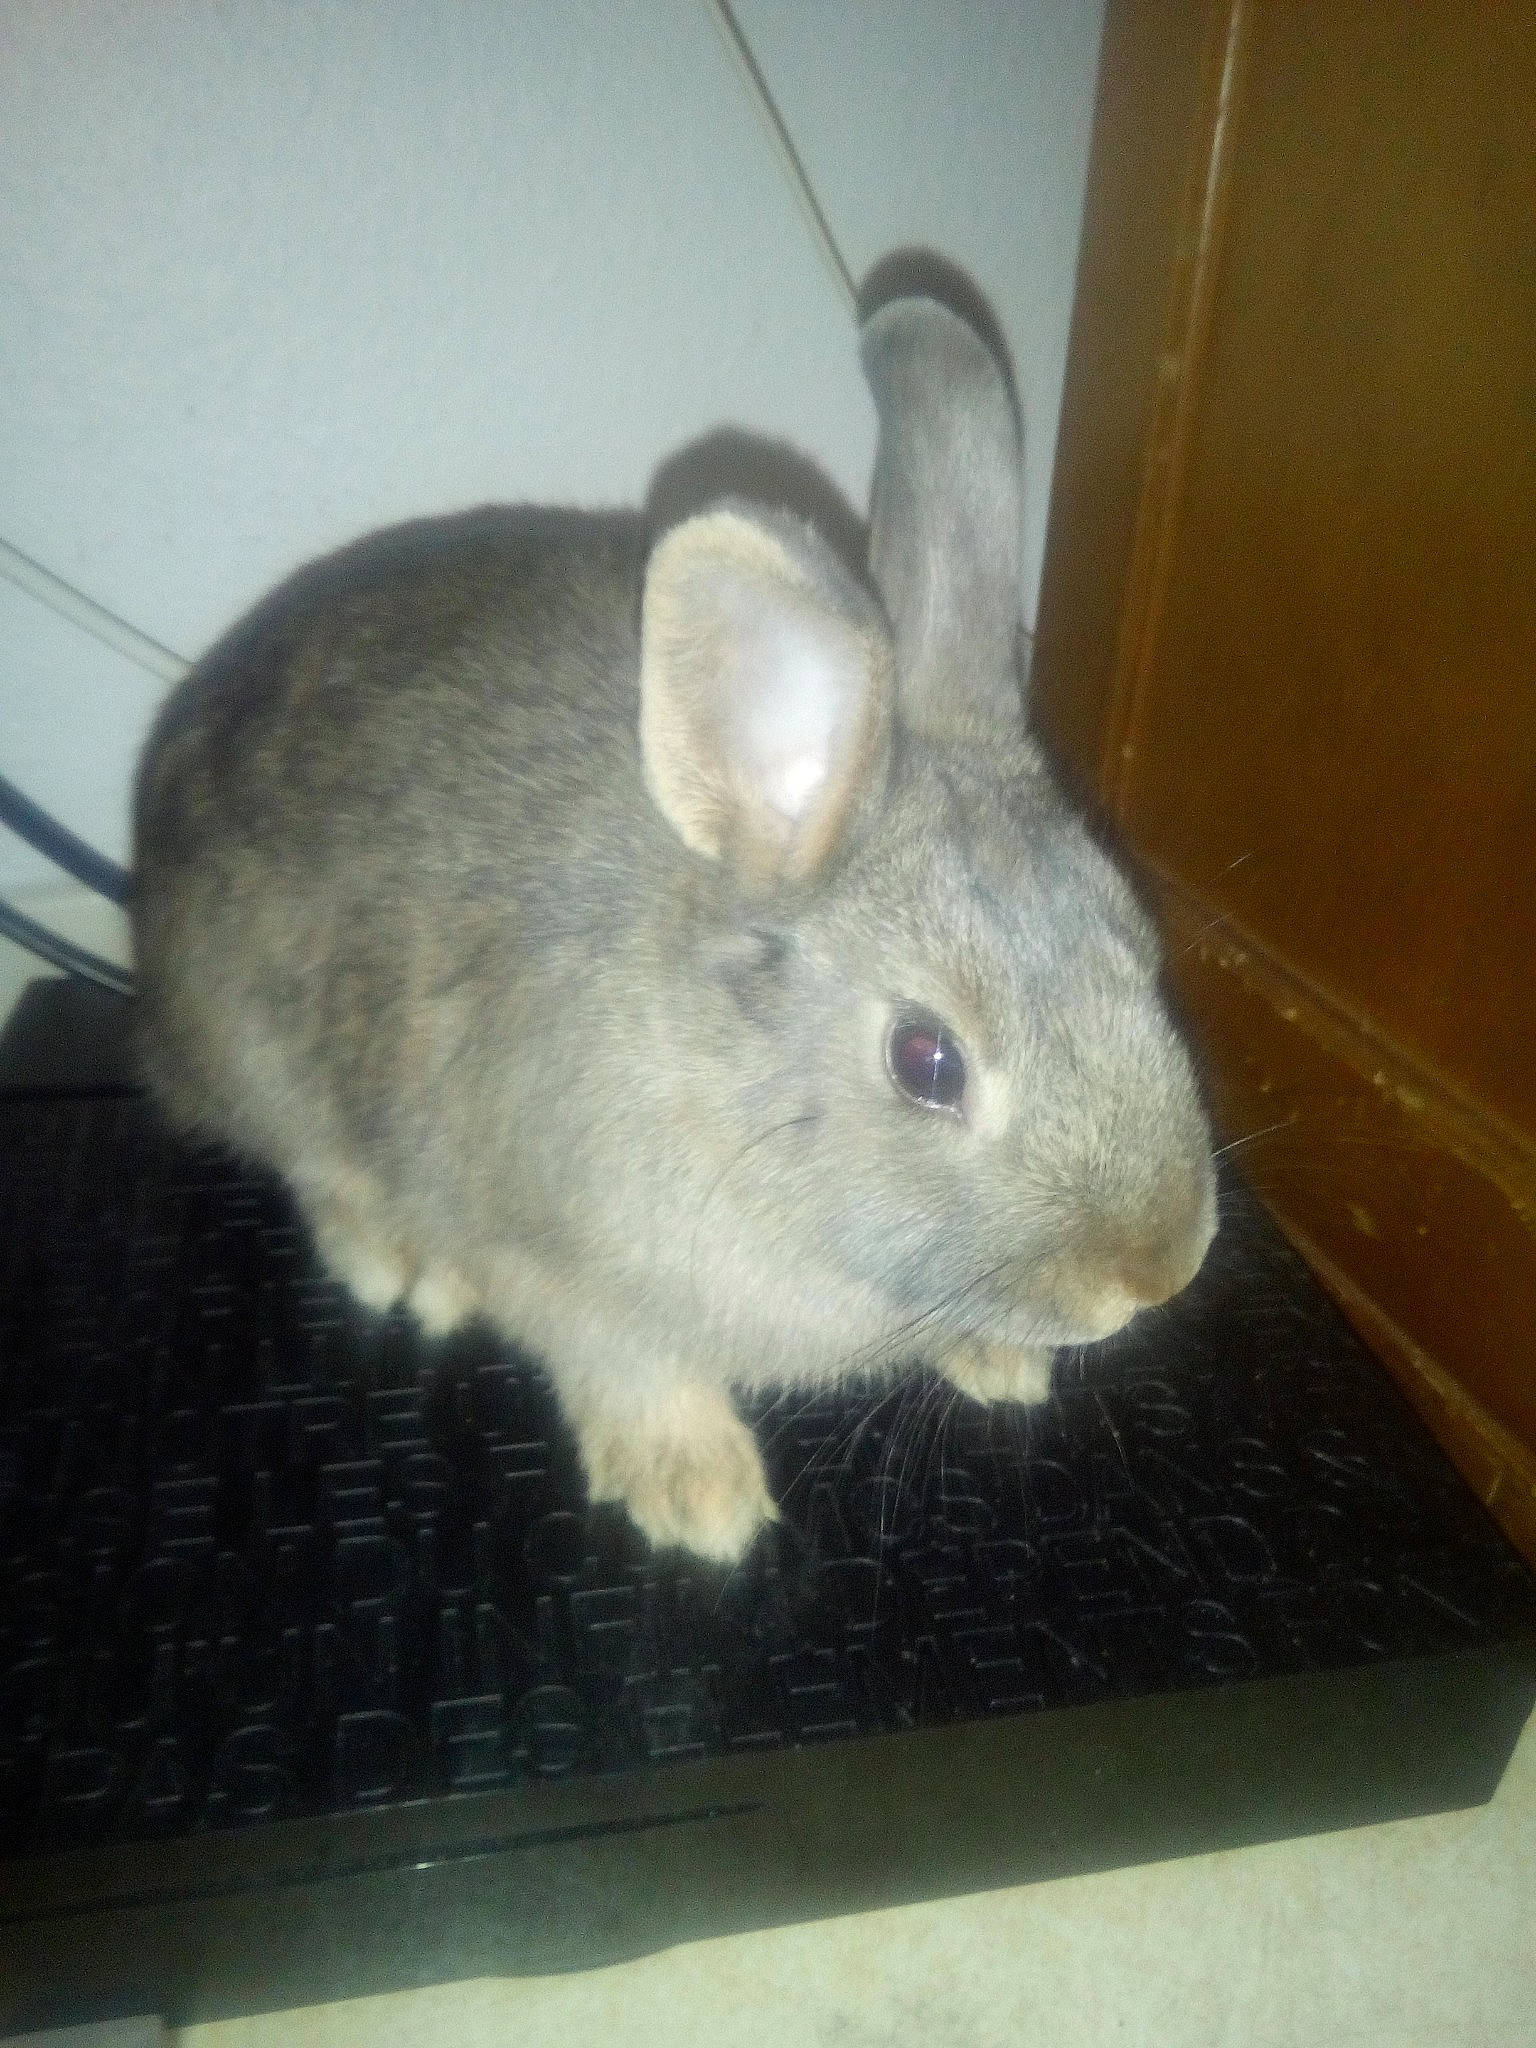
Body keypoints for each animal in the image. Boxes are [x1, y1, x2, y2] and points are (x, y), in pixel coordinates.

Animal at [131, 294, 1217, 1565]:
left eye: (1138, 943)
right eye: (926, 1060)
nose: (1158, 1269)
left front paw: (1003, 1359)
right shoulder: (563, 1266)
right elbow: (626, 1363)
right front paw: (701, 1498)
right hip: (260, 1049)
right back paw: (405, 1263)